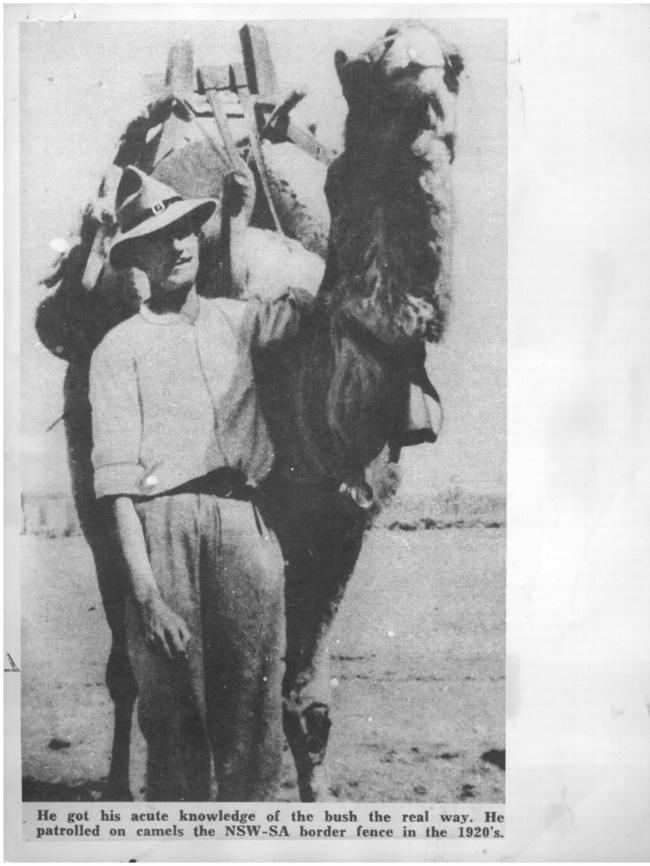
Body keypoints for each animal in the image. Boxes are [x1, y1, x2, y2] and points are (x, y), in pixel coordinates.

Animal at [35, 20, 460, 800]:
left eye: (455, 64)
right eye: (363, 73)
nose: (415, 59)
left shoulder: (343, 519)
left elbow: (304, 704)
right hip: (90, 482)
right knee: (125, 664)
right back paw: (118, 787)